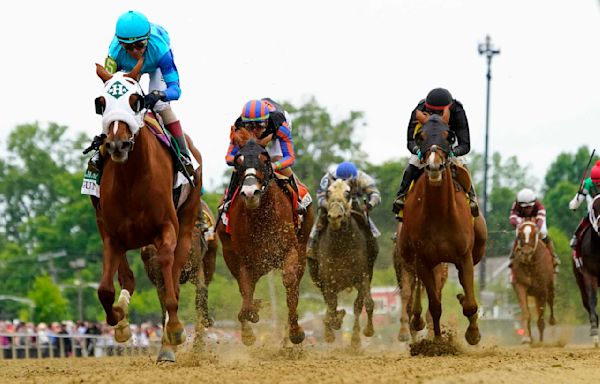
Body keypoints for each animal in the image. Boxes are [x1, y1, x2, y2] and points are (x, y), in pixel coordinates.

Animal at [90, 61, 200, 362]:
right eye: (101, 102)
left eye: (135, 100)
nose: (117, 145)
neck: (131, 178)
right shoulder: (112, 235)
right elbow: (105, 289)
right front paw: (119, 320)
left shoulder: (166, 228)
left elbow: (168, 279)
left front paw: (175, 330)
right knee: (127, 277)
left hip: (186, 221)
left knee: (172, 274)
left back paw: (168, 343)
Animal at [218, 134, 316, 344]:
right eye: (238, 161)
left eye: (265, 159)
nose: (250, 193)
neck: (262, 218)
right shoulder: (244, 260)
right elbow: (246, 295)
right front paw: (249, 322)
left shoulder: (290, 251)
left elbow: (290, 283)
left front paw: (295, 331)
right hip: (234, 256)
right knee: (245, 289)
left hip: (300, 250)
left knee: (294, 284)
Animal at [314, 178, 376, 346]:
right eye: (328, 192)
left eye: (348, 193)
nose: (335, 216)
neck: (342, 246)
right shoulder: (328, 281)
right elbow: (331, 307)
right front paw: (331, 331)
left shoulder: (363, 277)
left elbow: (367, 304)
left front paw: (367, 332)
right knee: (331, 306)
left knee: (356, 306)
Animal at [398, 109, 488, 344]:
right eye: (421, 137)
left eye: (450, 136)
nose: (434, 166)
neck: (439, 214)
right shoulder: (422, 259)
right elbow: (435, 305)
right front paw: (438, 342)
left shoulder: (464, 256)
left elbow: (470, 303)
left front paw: (473, 333)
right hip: (409, 255)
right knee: (417, 287)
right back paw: (417, 319)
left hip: (475, 250)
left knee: (463, 285)